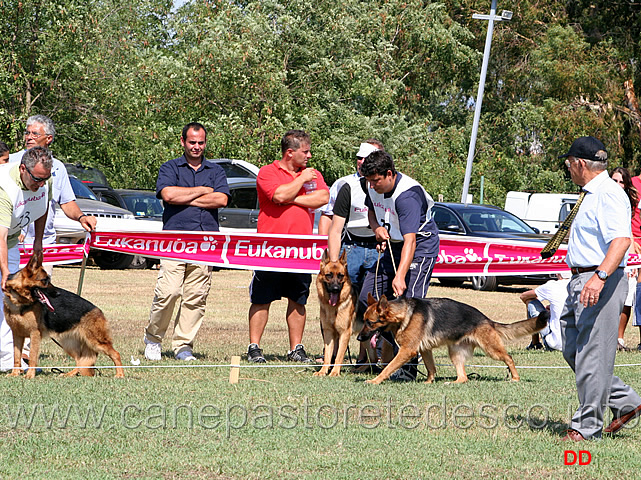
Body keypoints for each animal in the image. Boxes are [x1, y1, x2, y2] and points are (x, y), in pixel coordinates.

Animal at [358, 292, 548, 386]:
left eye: (370, 322)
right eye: (364, 320)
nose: (359, 337)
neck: (405, 313)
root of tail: (486, 319)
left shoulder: (407, 350)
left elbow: (388, 368)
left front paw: (375, 381)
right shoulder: (424, 349)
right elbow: (431, 367)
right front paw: (428, 382)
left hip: (491, 349)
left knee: (509, 358)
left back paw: (515, 377)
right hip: (455, 353)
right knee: (463, 377)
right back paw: (452, 382)